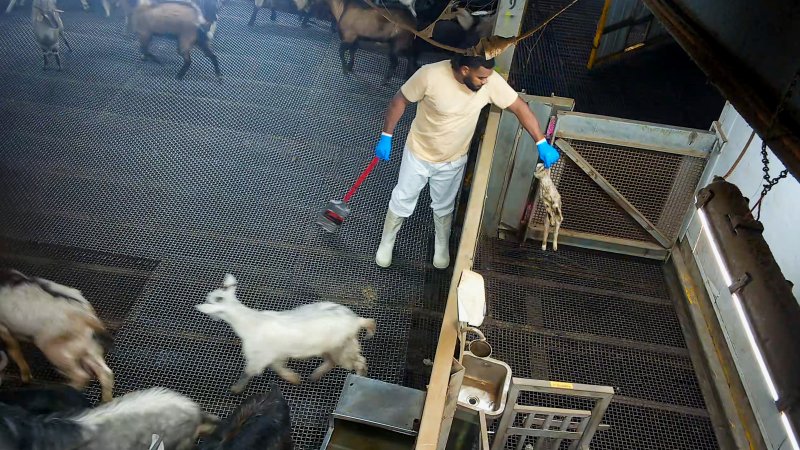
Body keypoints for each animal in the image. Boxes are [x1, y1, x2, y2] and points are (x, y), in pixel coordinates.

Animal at [0, 268, 114, 402]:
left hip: (56, 350)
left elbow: (14, 350)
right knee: (105, 373)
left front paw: (25, 377)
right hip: (89, 347)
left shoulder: (4, 328)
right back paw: (106, 400)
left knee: (81, 376)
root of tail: (84, 314)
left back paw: (64, 388)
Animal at [197, 272, 378, 392]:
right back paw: (315, 375)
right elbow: (279, 368)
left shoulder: (259, 356)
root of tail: (355, 320)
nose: (211, 316)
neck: (250, 322)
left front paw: (235, 389)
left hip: (343, 347)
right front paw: (294, 378)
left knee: (358, 361)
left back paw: (360, 376)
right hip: (332, 346)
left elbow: (249, 372)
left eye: (210, 302)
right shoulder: (277, 354)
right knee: (333, 361)